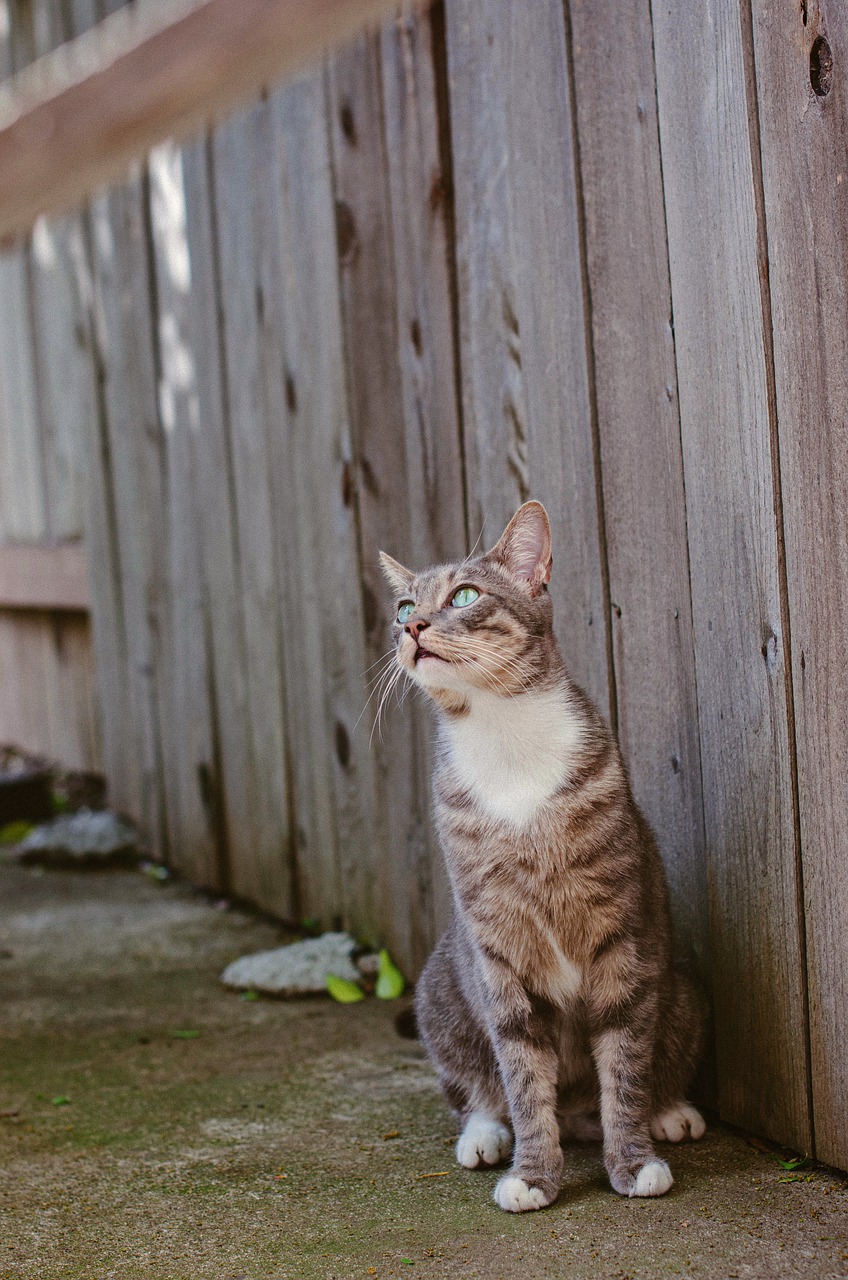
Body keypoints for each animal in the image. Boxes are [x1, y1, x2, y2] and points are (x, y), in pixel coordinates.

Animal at [381, 496, 707, 1208]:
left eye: (464, 595)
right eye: (402, 605)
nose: (411, 625)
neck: (505, 738)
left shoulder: (619, 933)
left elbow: (625, 1061)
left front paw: (632, 1161)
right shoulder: (496, 945)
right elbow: (523, 1070)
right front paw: (532, 1174)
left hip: (679, 982)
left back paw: (670, 1111)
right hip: (439, 989)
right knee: (477, 1086)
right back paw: (484, 1134)